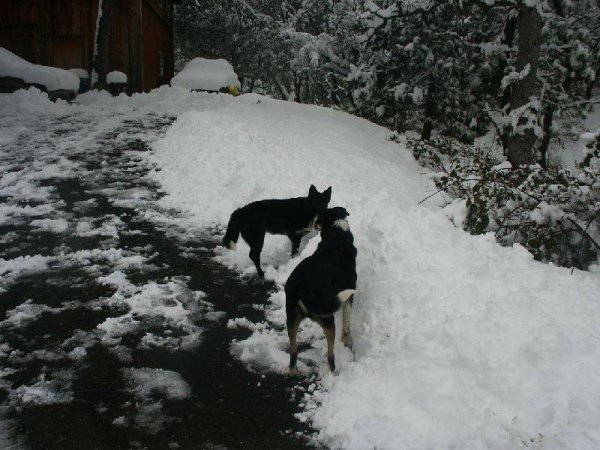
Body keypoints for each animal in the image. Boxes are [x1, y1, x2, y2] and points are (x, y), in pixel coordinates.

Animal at [282, 207, 354, 372]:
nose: (310, 220)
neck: (336, 235)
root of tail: (300, 288)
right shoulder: (350, 293)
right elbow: (347, 320)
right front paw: (346, 339)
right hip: (328, 318)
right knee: (330, 355)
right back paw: (333, 372)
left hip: (291, 318)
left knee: (293, 351)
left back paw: (291, 370)